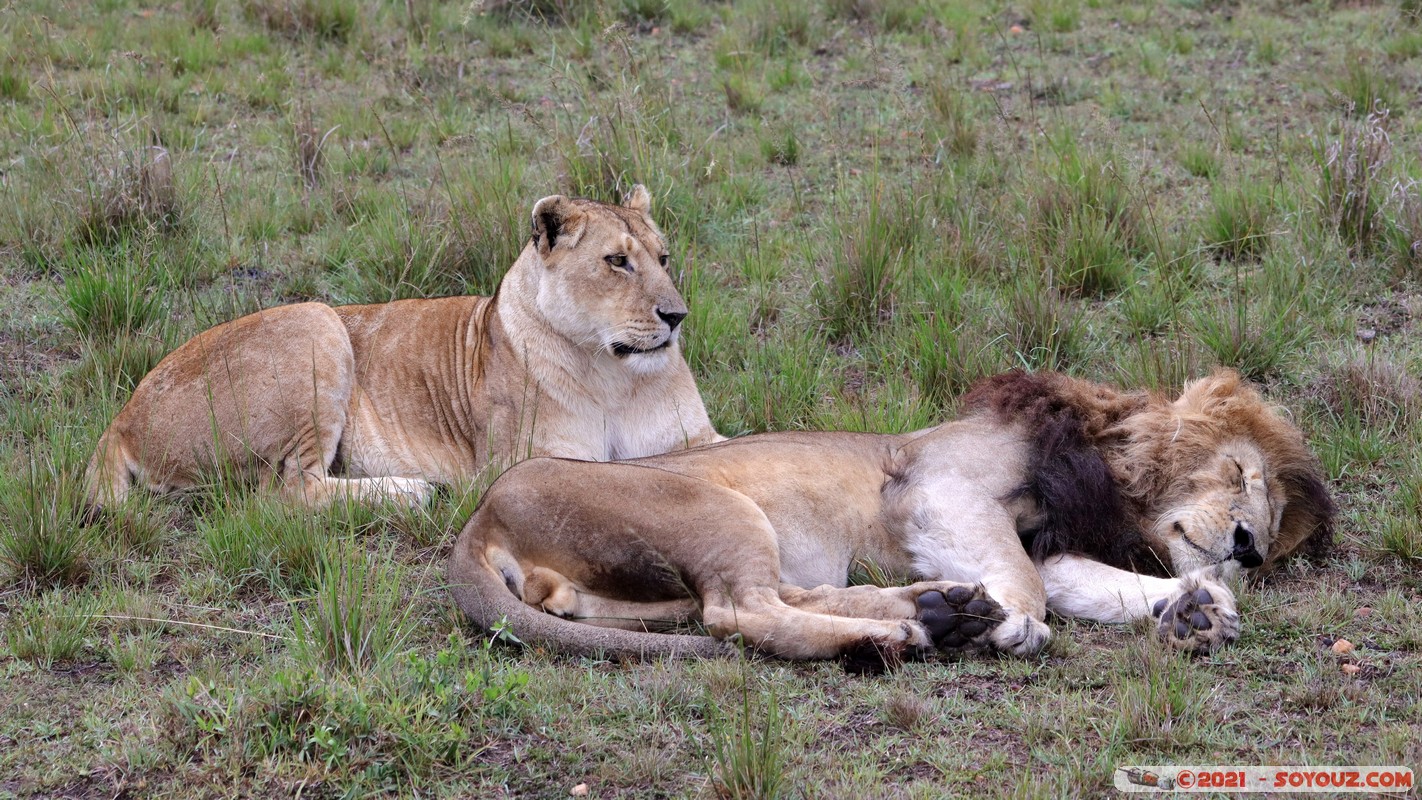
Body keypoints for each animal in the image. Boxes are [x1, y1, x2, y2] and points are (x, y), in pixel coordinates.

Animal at [83, 186, 716, 511]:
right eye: (617, 261)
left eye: (663, 258)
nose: (676, 316)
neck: (616, 374)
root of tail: (120, 420)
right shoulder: (524, 462)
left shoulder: (698, 438)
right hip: (316, 322)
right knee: (285, 494)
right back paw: (413, 490)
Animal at [446, 372, 1330, 673]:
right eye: (1239, 474)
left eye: (1269, 519)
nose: (1250, 549)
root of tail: (481, 515)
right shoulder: (937, 488)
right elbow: (1033, 590)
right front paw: (1017, 627)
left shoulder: (1040, 541)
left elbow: (1087, 582)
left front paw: (1197, 610)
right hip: (718, 507)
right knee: (742, 612)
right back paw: (913, 630)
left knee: (761, 602)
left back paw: (936, 612)